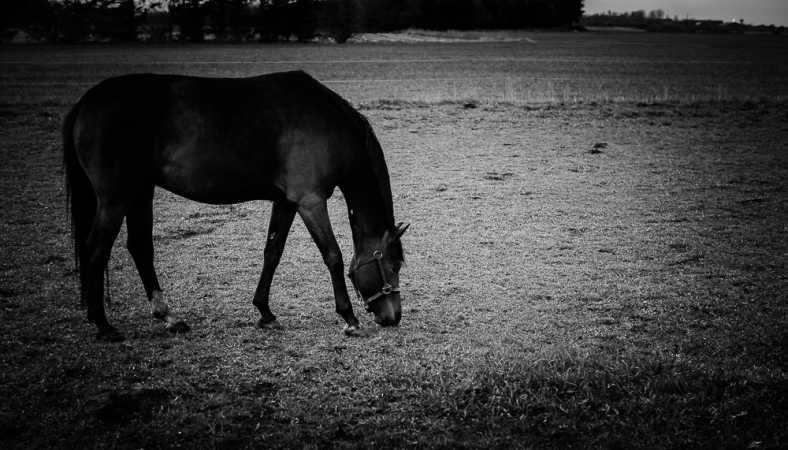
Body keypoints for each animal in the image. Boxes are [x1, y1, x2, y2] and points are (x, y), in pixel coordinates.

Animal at [62, 70, 409, 341]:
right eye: (393, 266)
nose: (393, 317)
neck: (326, 122)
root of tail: (85, 103)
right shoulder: (310, 201)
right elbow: (332, 256)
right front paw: (349, 318)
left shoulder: (286, 202)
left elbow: (272, 253)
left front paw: (265, 312)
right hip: (115, 199)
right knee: (96, 250)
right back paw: (103, 324)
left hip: (139, 192)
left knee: (140, 248)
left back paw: (169, 316)